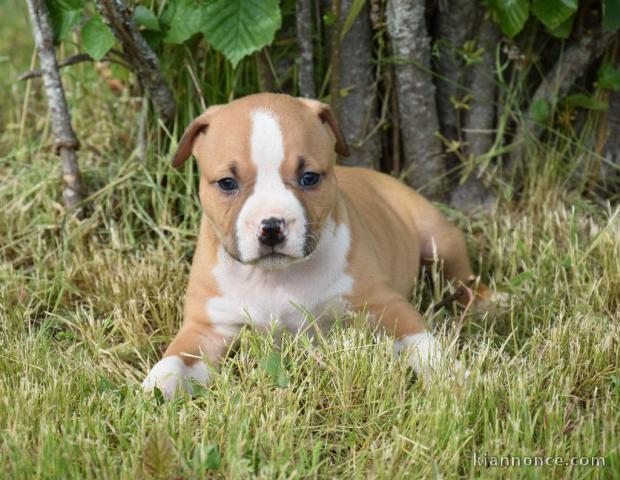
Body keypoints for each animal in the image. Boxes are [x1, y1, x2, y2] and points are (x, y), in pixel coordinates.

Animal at [142, 93, 490, 398]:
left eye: (309, 177)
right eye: (227, 183)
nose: (272, 226)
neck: (275, 277)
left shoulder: (385, 306)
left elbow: (426, 346)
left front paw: (455, 379)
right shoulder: (206, 328)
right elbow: (174, 361)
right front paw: (153, 391)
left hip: (438, 238)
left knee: (464, 277)